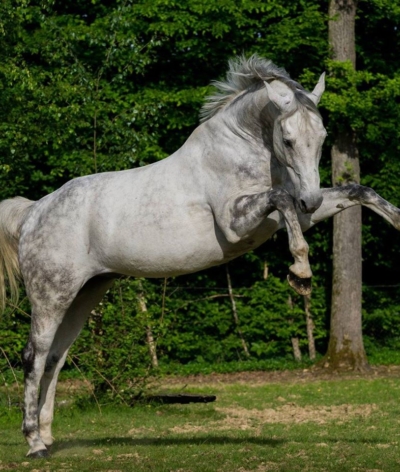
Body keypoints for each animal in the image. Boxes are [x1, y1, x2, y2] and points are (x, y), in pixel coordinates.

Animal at [0, 55, 400, 458]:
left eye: (321, 138)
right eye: (287, 139)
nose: (311, 199)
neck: (240, 149)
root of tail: (34, 212)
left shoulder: (294, 216)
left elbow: (357, 191)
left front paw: (396, 219)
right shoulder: (238, 222)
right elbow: (281, 199)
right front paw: (300, 271)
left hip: (85, 293)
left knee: (55, 357)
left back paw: (48, 435)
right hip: (52, 295)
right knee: (35, 356)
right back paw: (34, 443)